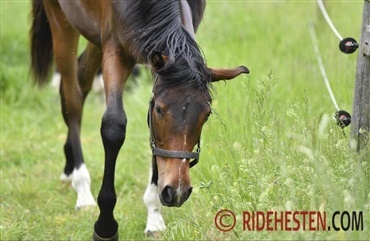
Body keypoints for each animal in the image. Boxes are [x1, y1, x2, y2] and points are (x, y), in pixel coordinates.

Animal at [28, 0, 249, 240]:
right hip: (61, 21)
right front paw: (105, 226)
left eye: (206, 114)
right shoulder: (116, 51)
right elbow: (113, 126)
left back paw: (70, 167)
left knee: (82, 81)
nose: (177, 191)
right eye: (160, 110)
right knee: (72, 98)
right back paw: (82, 187)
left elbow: (154, 139)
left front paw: (154, 216)